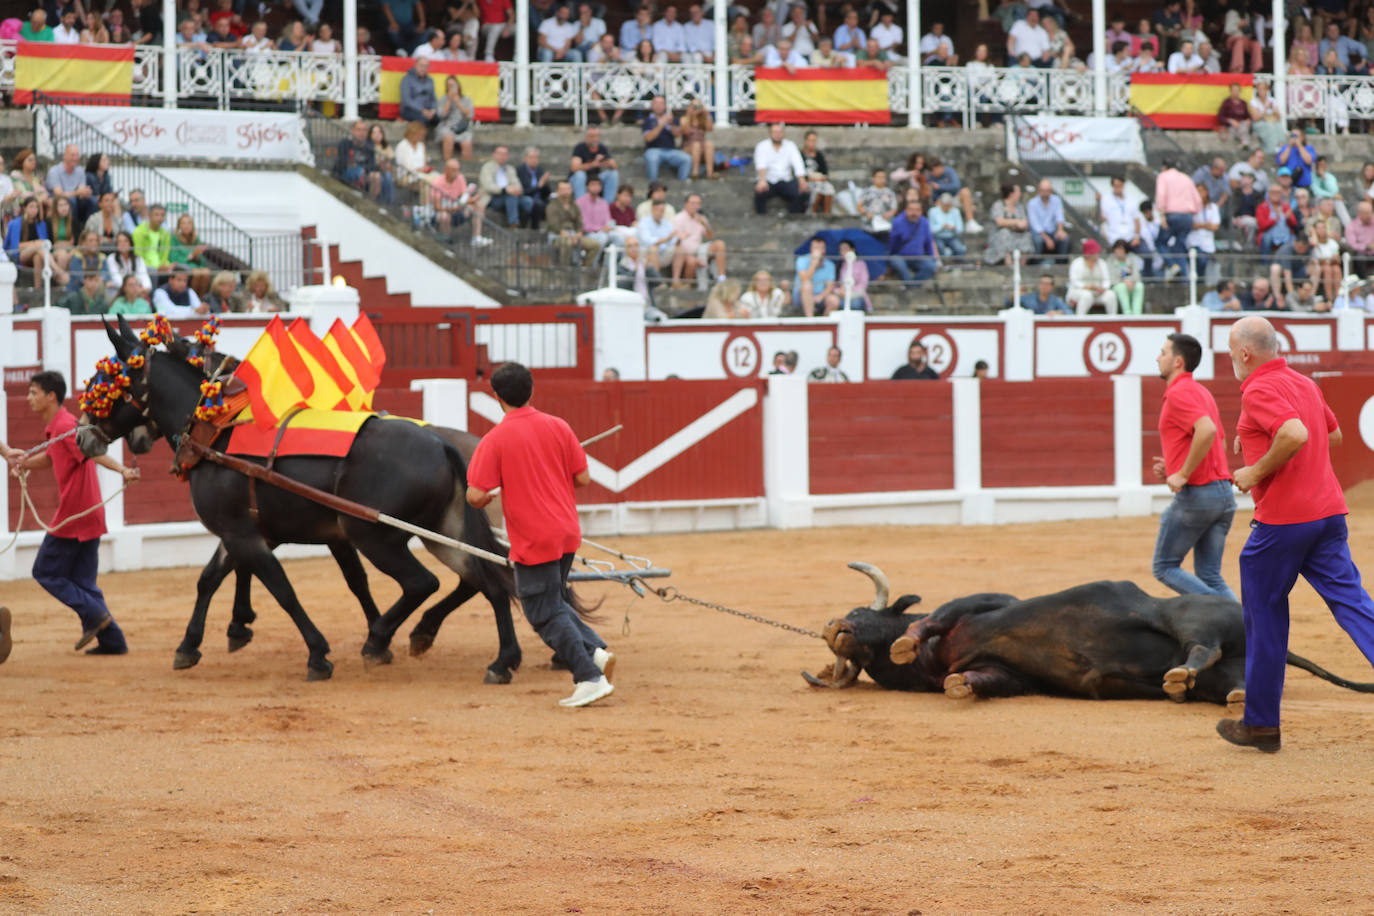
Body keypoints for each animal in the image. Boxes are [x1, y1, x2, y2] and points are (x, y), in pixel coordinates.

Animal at [802, 560, 1374, 703]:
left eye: (863, 610)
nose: (833, 627)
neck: (939, 657)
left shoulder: (983, 603)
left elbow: (934, 616)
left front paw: (904, 641)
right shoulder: (1008, 672)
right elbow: (981, 680)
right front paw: (958, 684)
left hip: (1194, 617)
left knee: (1200, 646)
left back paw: (1180, 674)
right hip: (1221, 675)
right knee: (1224, 680)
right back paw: (1208, 691)